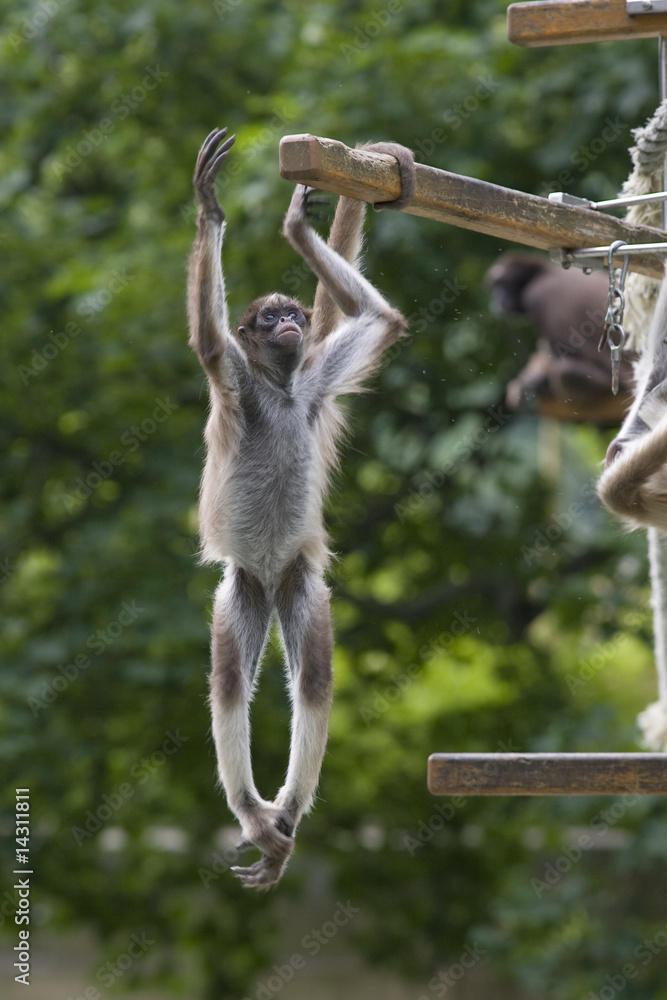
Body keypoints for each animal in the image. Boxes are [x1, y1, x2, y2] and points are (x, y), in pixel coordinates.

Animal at [188, 127, 414, 892]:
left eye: (291, 315)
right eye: (271, 318)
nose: (289, 322)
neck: (281, 393)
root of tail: (267, 575)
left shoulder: (314, 384)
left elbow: (384, 320)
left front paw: (294, 228)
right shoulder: (232, 376)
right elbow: (209, 340)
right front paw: (212, 205)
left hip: (296, 580)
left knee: (312, 681)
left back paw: (285, 812)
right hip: (243, 588)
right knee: (230, 685)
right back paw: (257, 814)